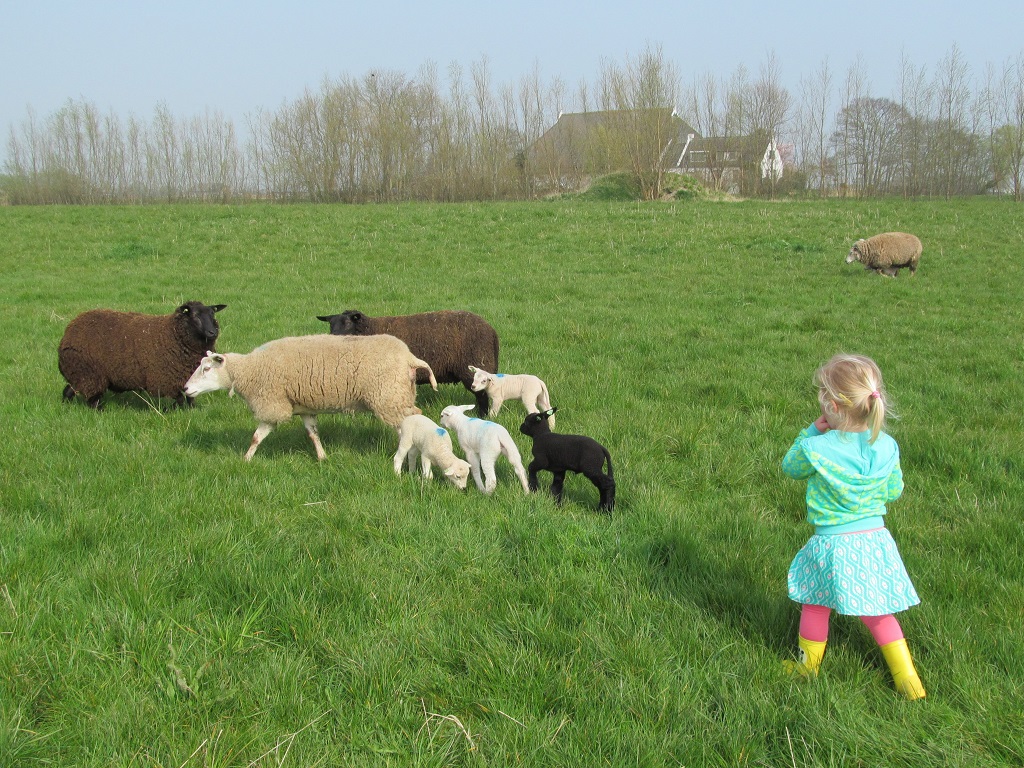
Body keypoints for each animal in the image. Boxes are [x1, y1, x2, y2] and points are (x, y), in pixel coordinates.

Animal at [58, 301, 227, 409]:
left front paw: (191, 410)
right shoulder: (165, 380)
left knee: (68, 390)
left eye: (213, 315)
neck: (172, 333)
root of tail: (68, 332)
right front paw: (168, 410)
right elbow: (179, 399)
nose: (213, 332)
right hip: (89, 372)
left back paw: (65, 406)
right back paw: (101, 411)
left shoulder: (187, 376)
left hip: (80, 373)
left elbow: (190, 397)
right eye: (196, 316)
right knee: (92, 399)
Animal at [183, 331, 436, 462]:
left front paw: (246, 459)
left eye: (207, 369)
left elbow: (257, 436)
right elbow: (312, 433)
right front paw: (323, 457)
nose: (185, 389)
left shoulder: (273, 404)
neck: (249, 369)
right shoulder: (304, 408)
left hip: (389, 397)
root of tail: (409, 357)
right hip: (397, 396)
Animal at [315, 307, 499, 417]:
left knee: (482, 396)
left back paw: (481, 416)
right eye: (330, 325)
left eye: (347, 324)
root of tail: (491, 330)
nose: (331, 339)